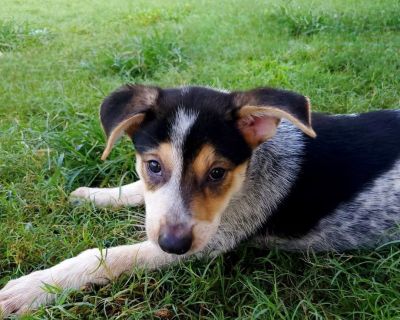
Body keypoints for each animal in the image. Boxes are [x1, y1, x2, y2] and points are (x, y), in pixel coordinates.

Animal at [0, 84, 400, 316]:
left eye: (218, 173)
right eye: (154, 165)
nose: (173, 243)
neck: (250, 174)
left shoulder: (210, 242)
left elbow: (110, 257)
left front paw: (33, 288)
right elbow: (137, 190)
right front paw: (93, 195)